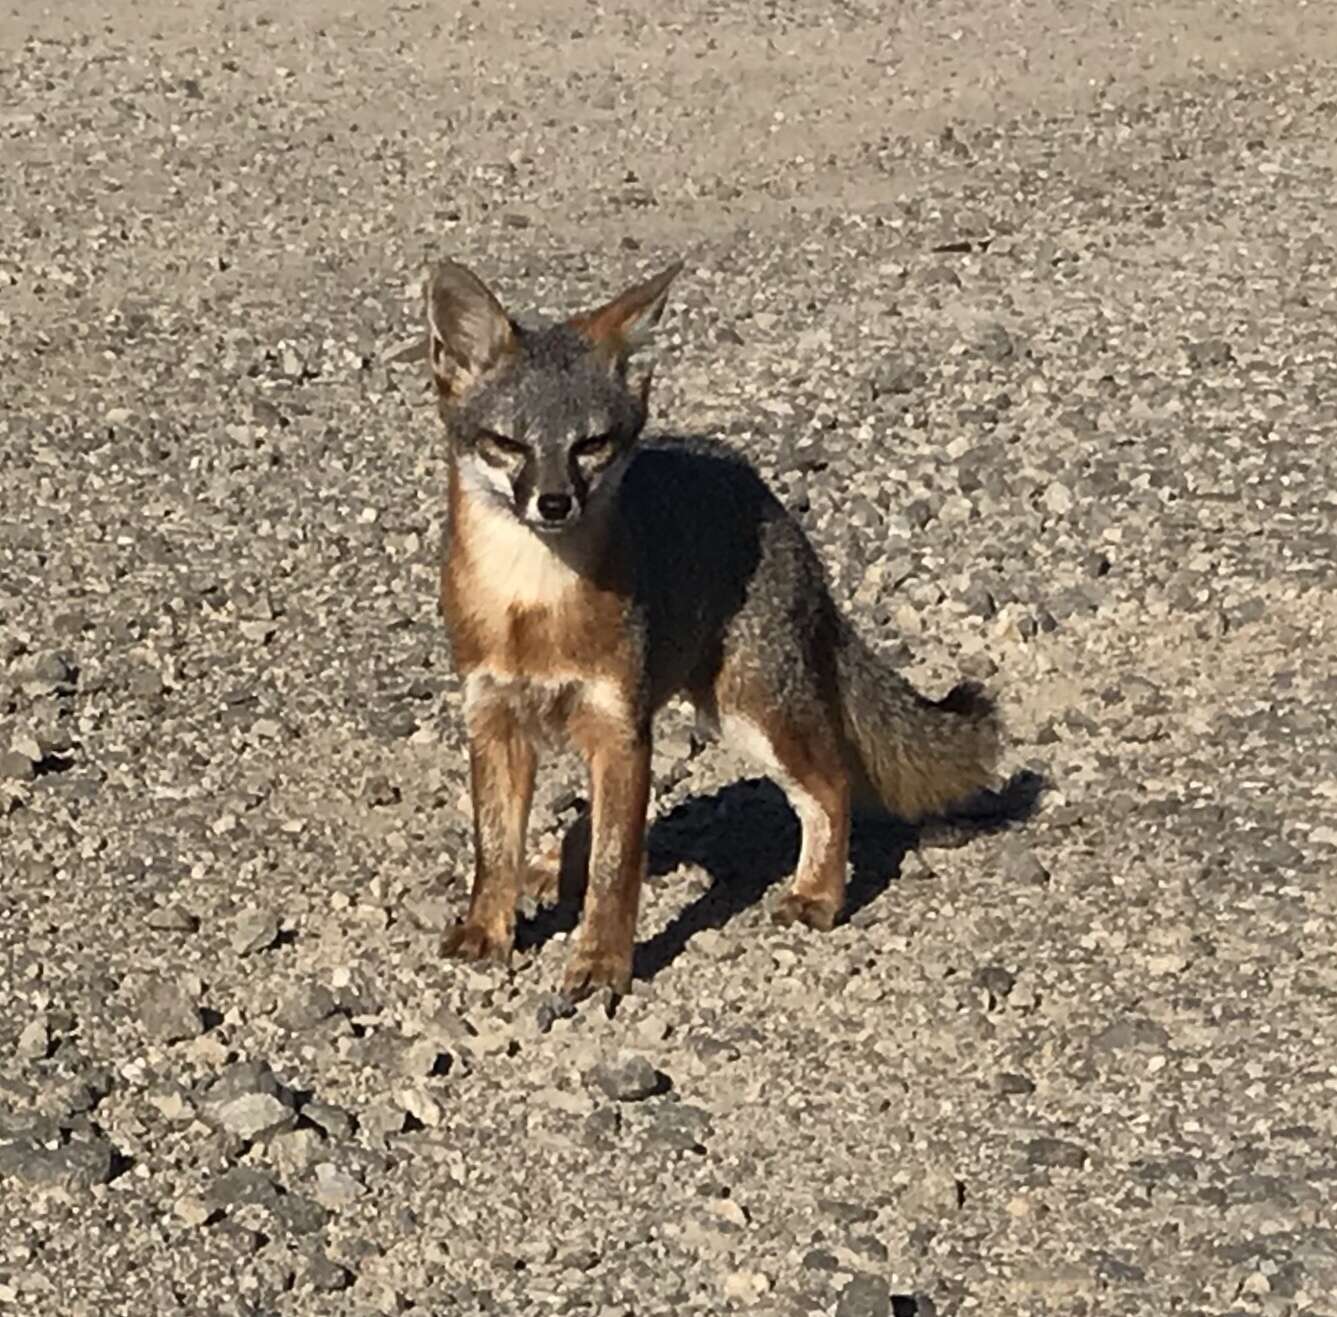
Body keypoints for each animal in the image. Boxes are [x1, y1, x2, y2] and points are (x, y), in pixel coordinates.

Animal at [422, 256, 1000, 994]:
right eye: (507, 444)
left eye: (591, 445)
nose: (553, 503)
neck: (532, 606)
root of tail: (764, 493)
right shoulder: (493, 718)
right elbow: (495, 847)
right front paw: (489, 928)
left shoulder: (620, 729)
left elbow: (616, 865)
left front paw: (601, 960)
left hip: (750, 712)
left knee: (832, 785)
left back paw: (817, 894)